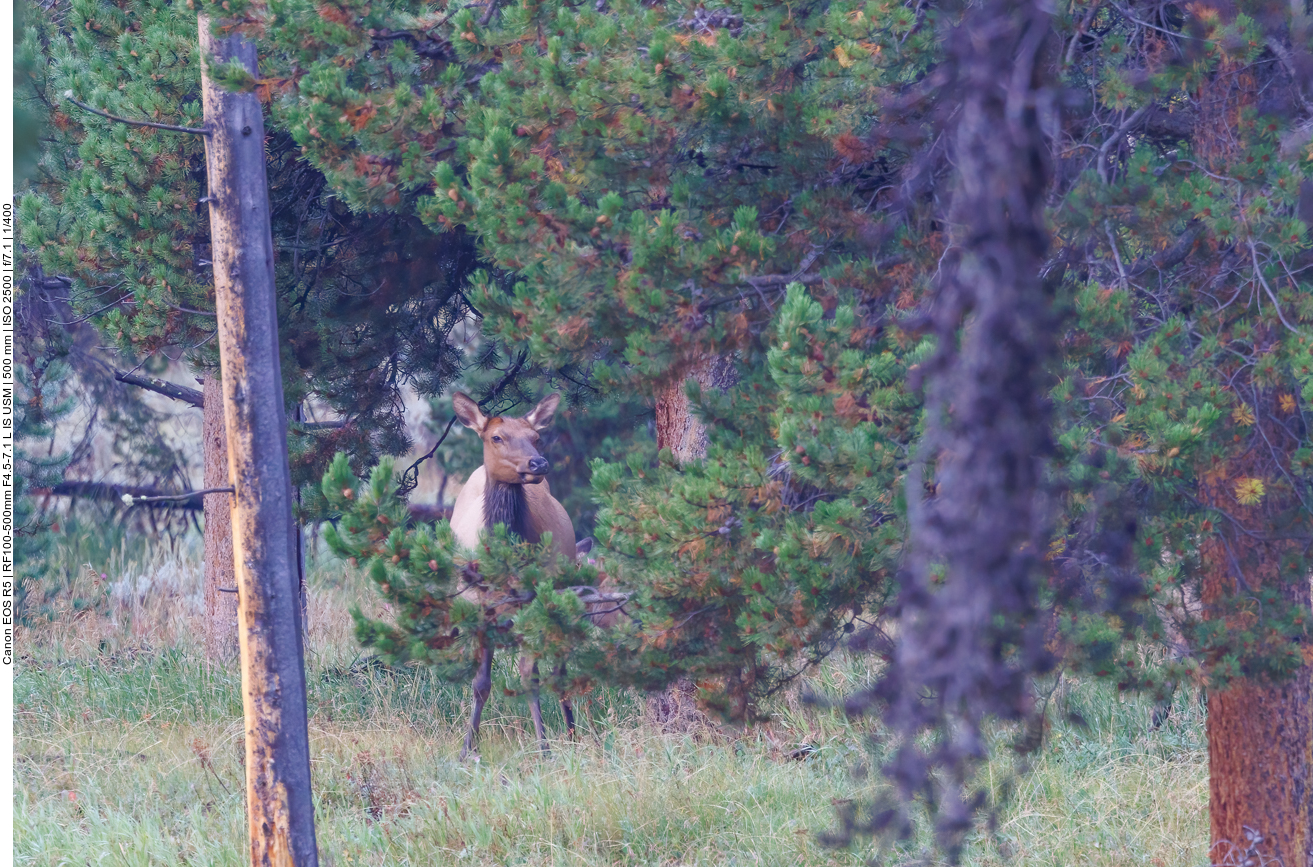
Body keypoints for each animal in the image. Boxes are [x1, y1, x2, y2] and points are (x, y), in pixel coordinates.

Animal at [451, 394, 596, 756]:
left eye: (536, 436)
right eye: (496, 437)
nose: (538, 464)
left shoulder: (534, 605)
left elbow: (529, 676)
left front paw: (544, 748)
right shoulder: (480, 605)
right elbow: (480, 683)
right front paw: (467, 748)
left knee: (558, 668)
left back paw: (571, 734)